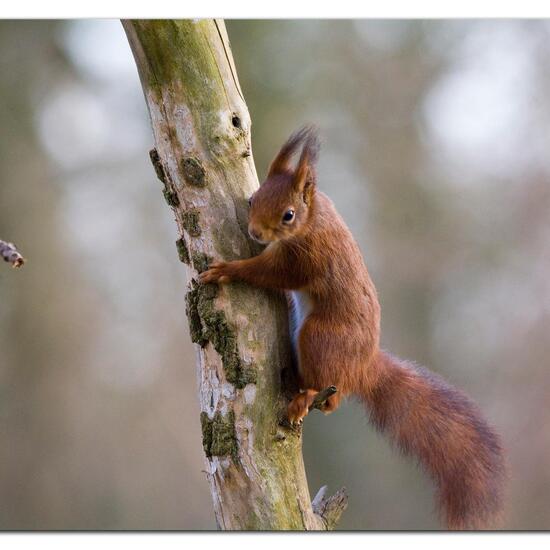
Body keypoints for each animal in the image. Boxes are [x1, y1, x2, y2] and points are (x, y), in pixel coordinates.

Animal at [201, 125, 506, 532]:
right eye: (252, 199)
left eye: (288, 215)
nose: (255, 232)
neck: (314, 217)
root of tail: (363, 366)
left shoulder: (309, 257)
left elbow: (272, 273)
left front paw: (228, 270)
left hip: (318, 336)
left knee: (328, 391)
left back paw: (303, 397)